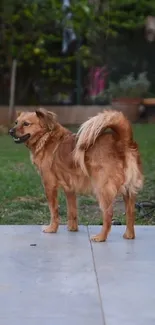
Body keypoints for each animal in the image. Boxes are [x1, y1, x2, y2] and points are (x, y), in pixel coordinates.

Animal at [9, 107, 143, 239]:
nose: (10, 131)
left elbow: (54, 210)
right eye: (16, 122)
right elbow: (72, 211)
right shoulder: (69, 188)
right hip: (129, 191)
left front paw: (52, 228)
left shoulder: (49, 186)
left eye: (26, 124)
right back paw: (129, 235)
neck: (46, 137)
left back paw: (101, 237)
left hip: (102, 189)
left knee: (108, 214)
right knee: (131, 213)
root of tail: (122, 141)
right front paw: (72, 229)